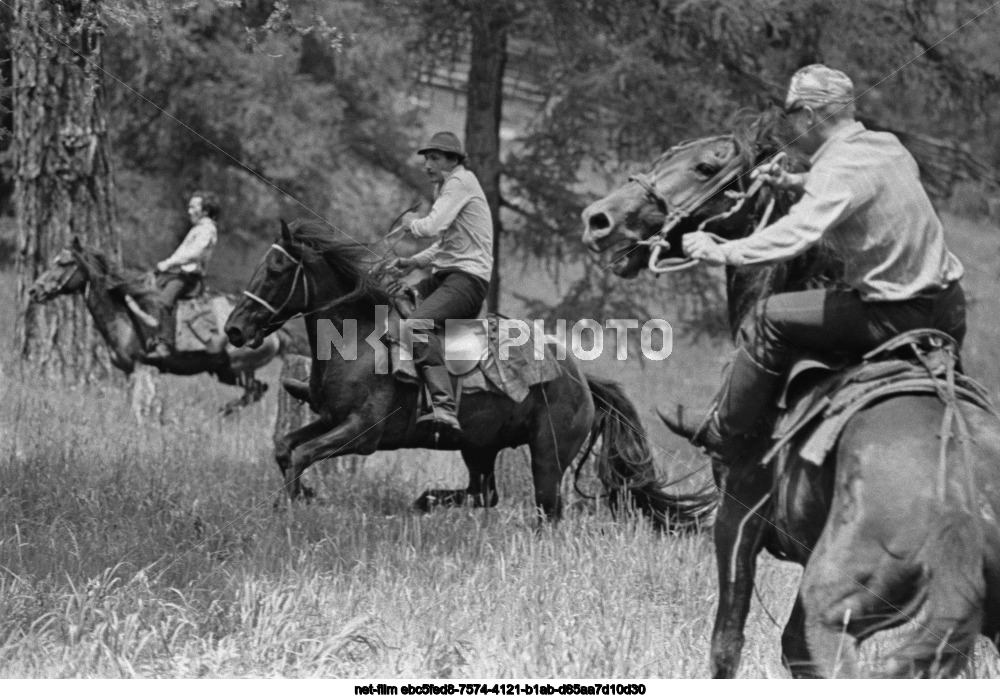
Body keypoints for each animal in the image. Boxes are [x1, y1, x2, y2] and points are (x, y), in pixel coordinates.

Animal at [29, 239, 288, 416]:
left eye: (65, 263)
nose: (34, 290)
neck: (124, 317)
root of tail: (275, 335)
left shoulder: (140, 367)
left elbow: (139, 405)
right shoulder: (128, 371)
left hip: (238, 369)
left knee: (255, 391)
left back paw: (223, 411)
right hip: (226, 371)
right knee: (258, 390)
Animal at [223, 220, 716, 532]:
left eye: (276, 270)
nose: (234, 329)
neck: (357, 339)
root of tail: (581, 379)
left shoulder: (361, 433)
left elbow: (302, 455)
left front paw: (287, 505)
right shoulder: (330, 417)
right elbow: (285, 448)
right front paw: (300, 495)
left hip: (547, 455)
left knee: (548, 511)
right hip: (478, 447)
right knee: (485, 494)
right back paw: (425, 501)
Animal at [580, 110, 1000, 680]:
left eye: (707, 166)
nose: (599, 219)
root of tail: (960, 502)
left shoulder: (737, 520)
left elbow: (727, 643)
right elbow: (788, 648)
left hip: (835, 602)